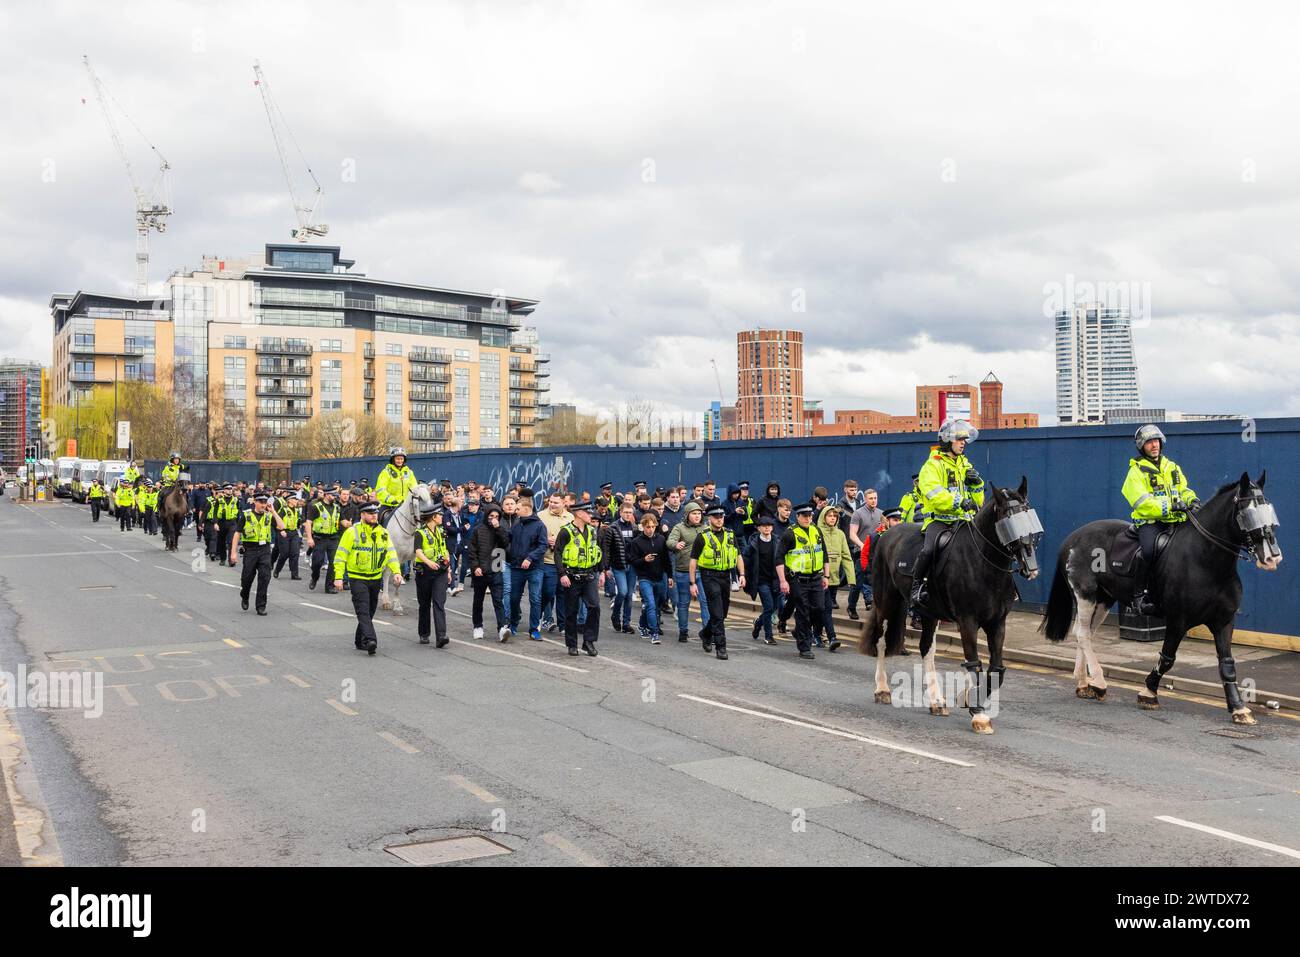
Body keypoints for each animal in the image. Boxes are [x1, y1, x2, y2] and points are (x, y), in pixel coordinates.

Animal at [379, 481, 434, 616]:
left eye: (431, 497)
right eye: (419, 499)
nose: (428, 518)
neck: (409, 530)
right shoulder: (397, 557)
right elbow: (396, 580)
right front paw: (397, 605)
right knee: (386, 574)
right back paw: (385, 600)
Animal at [863, 478, 1045, 733]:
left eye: (1028, 513)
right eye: (1008, 516)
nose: (1031, 567)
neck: (984, 563)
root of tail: (886, 533)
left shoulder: (997, 623)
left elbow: (996, 669)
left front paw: (968, 697)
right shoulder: (967, 621)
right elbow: (974, 663)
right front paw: (979, 715)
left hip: (929, 613)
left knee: (926, 648)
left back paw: (936, 701)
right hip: (886, 601)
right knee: (881, 641)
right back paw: (882, 689)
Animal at [1040, 470, 1284, 722]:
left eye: (1268, 509)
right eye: (1247, 513)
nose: (1272, 557)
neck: (1206, 559)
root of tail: (1072, 538)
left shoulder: (1223, 621)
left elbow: (1227, 663)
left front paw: (1238, 708)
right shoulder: (1178, 620)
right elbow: (1167, 658)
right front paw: (1148, 692)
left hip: (1103, 600)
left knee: (1085, 633)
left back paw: (1083, 684)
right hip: (1085, 595)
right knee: (1083, 635)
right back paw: (1098, 682)